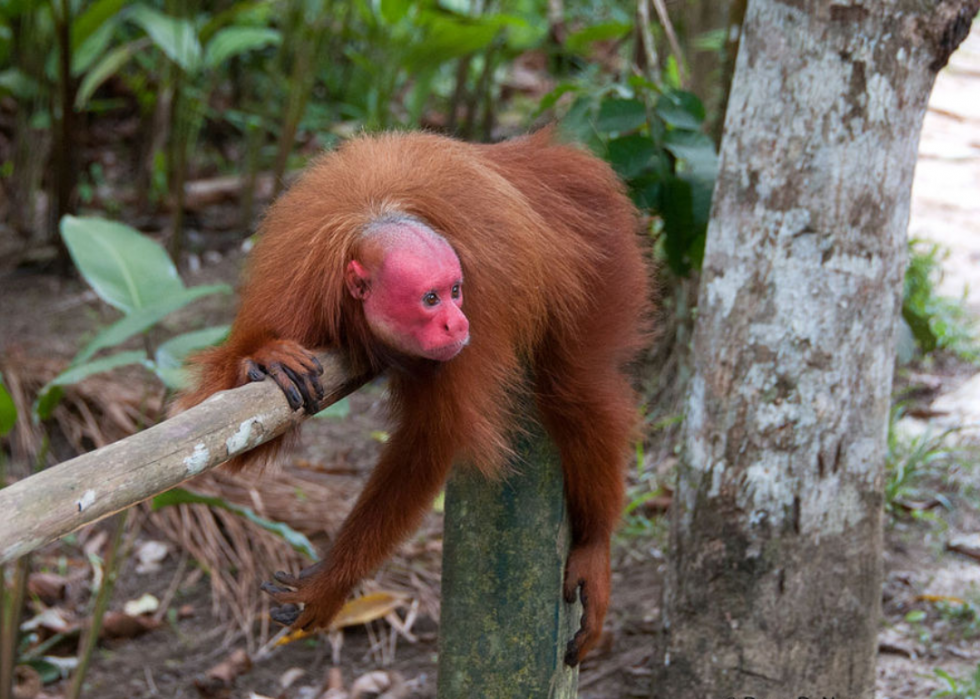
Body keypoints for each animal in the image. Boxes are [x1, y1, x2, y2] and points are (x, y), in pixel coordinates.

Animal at [180, 129, 656, 664]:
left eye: (455, 291)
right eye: (431, 299)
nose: (456, 323)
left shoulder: (482, 306)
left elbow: (429, 442)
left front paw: (330, 583)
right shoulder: (287, 297)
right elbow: (224, 441)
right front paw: (263, 361)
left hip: (606, 249)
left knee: (576, 388)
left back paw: (594, 543)